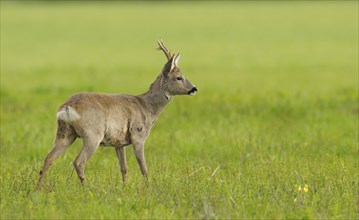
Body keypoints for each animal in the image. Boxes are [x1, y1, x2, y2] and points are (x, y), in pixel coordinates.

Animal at [37, 40, 197, 188]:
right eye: (179, 77)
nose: (194, 89)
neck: (147, 107)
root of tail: (68, 107)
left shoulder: (119, 142)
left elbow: (124, 168)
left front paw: (124, 187)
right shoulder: (138, 135)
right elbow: (143, 168)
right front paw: (149, 188)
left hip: (65, 133)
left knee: (48, 159)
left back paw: (38, 188)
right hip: (92, 134)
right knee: (78, 162)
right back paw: (87, 188)